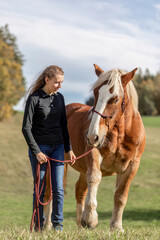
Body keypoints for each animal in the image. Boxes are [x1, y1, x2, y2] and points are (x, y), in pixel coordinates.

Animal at [44, 64, 146, 232]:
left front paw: (116, 226)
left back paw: (80, 227)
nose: (92, 136)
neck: (120, 134)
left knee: (79, 191)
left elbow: (120, 195)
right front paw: (90, 219)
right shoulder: (94, 154)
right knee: (51, 191)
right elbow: (94, 178)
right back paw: (47, 225)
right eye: (95, 94)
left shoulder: (132, 166)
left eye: (115, 99)